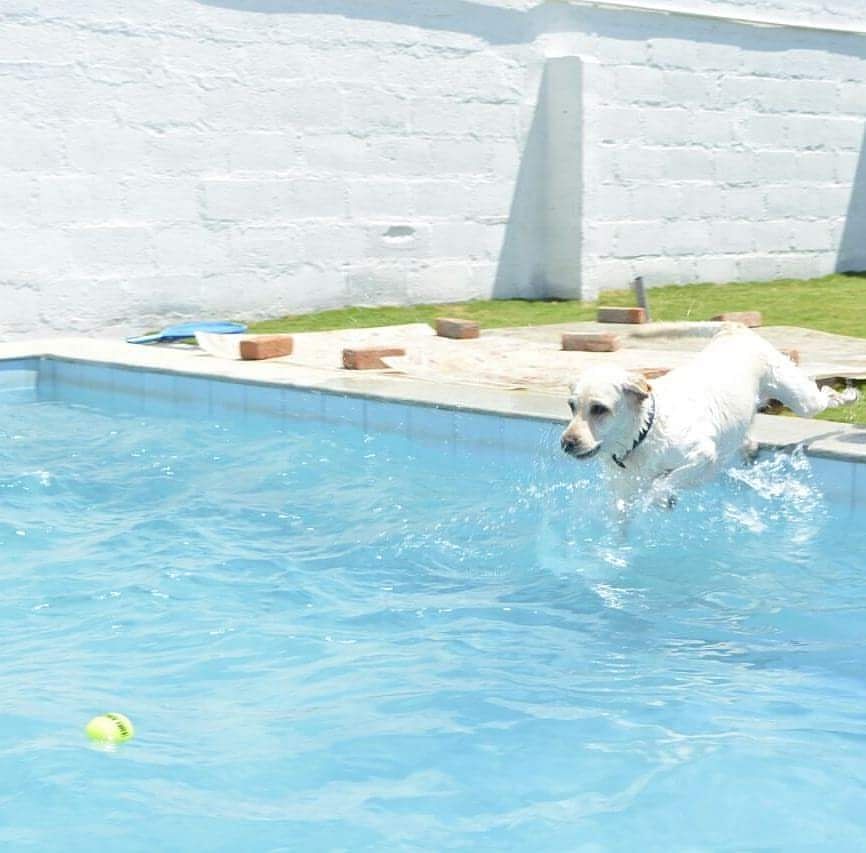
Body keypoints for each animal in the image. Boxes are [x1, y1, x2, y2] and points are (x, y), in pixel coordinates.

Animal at [560, 322, 856, 506]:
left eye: (599, 409)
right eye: (572, 406)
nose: (566, 443)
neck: (644, 431)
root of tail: (731, 329)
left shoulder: (701, 455)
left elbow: (664, 482)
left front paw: (662, 498)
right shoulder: (624, 491)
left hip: (801, 400)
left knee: (825, 394)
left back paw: (849, 394)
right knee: (746, 436)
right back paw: (749, 448)